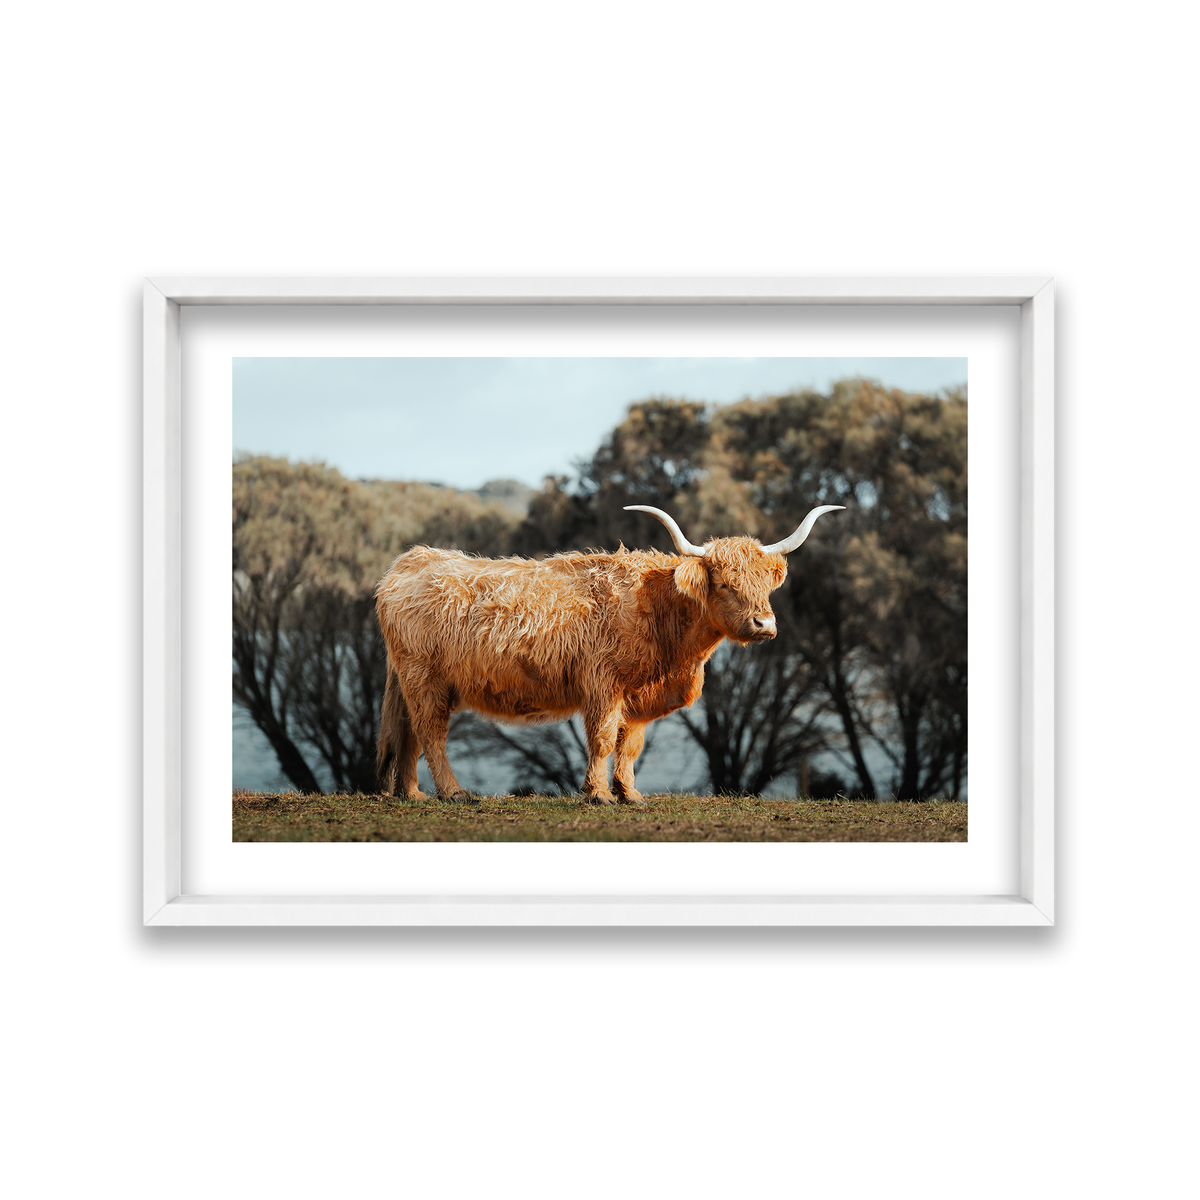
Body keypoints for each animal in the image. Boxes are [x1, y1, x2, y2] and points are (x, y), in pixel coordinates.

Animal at [374, 503, 844, 804]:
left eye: (765, 585)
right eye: (726, 584)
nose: (764, 625)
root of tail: (412, 559)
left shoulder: (637, 695)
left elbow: (630, 744)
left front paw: (630, 794)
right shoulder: (603, 684)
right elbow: (601, 739)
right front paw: (598, 794)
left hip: (414, 681)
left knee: (409, 734)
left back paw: (412, 794)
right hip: (425, 678)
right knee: (431, 733)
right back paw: (453, 793)